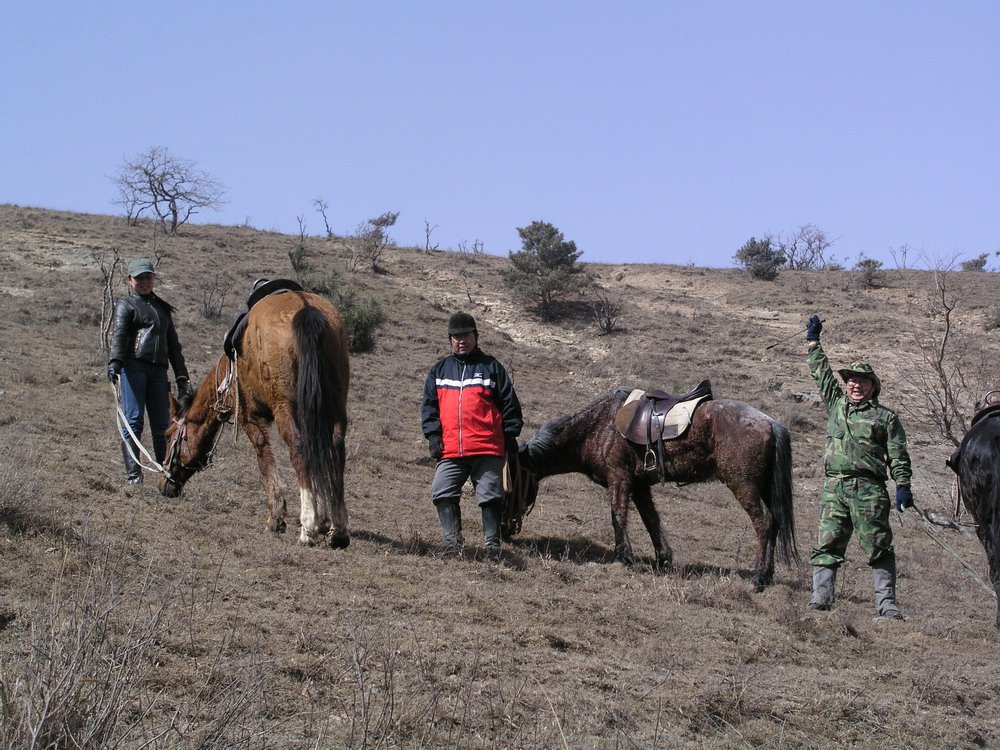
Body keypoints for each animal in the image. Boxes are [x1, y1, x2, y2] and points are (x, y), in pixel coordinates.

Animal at [160, 290, 352, 548]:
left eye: (168, 436)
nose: (164, 485)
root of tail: (307, 309)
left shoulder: (249, 416)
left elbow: (264, 458)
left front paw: (276, 518)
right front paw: (323, 520)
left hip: (285, 408)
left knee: (299, 449)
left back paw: (307, 529)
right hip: (336, 404)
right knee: (336, 449)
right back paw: (339, 530)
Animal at [516, 388, 796, 592]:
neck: (599, 426)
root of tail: (769, 422)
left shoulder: (619, 479)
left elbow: (618, 515)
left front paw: (623, 557)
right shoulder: (639, 487)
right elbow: (651, 520)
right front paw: (663, 559)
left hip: (743, 484)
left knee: (763, 523)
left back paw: (758, 577)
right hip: (765, 488)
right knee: (775, 522)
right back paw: (768, 575)